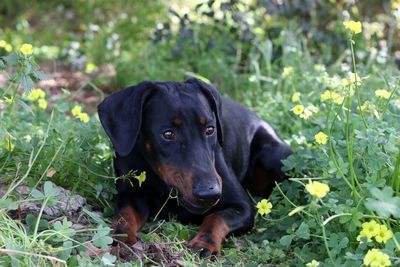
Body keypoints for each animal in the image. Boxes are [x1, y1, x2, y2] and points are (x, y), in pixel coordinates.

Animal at [97, 78, 290, 258]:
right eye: (168, 133)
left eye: (210, 129)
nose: (209, 194)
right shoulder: (130, 193)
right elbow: (125, 215)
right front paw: (121, 237)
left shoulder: (243, 207)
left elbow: (216, 217)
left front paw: (204, 243)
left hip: (273, 156)